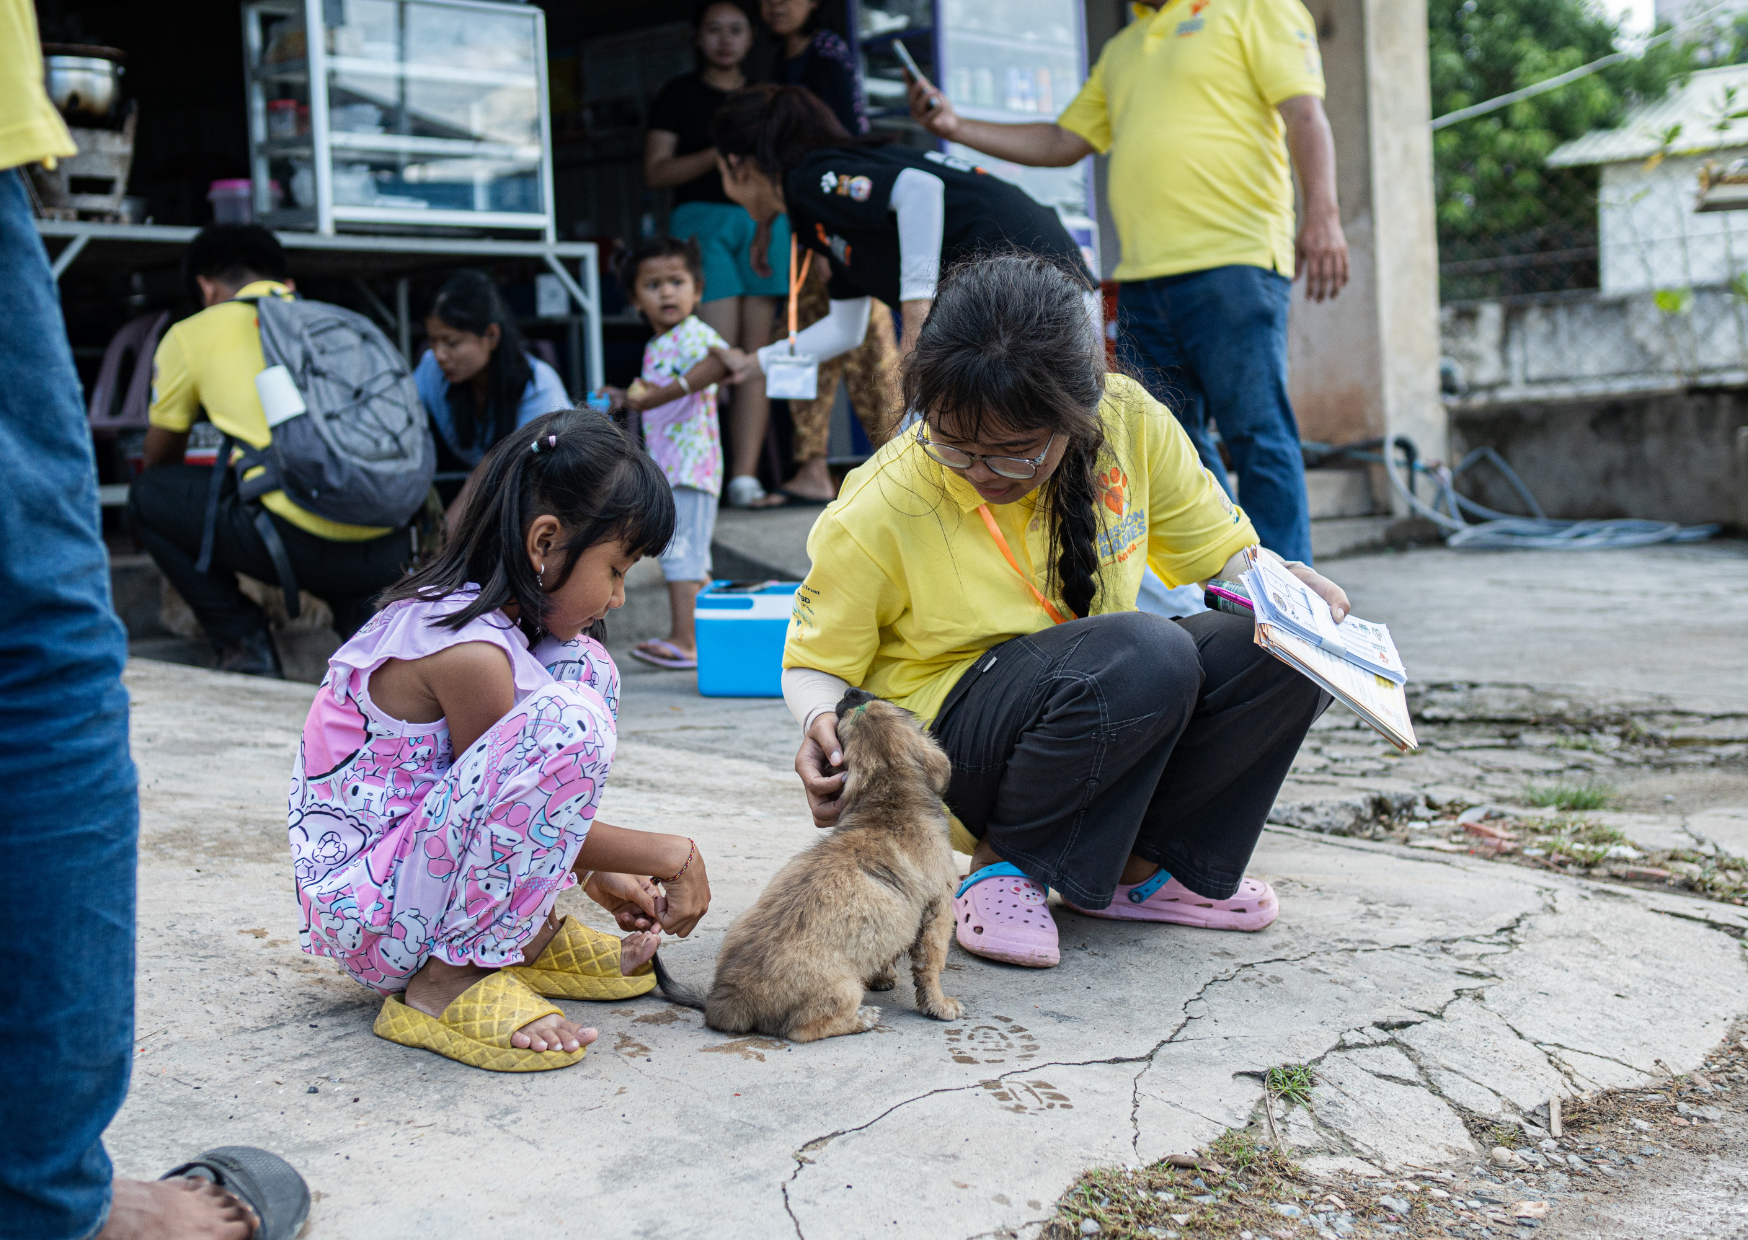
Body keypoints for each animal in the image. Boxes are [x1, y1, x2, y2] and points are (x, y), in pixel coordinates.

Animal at [653, 685, 964, 1035]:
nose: (851, 691)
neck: (889, 795)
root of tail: (726, 1001)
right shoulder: (938, 910)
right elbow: (931, 965)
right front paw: (940, 1005)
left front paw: (883, 977)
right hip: (844, 989)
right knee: (804, 1028)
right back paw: (863, 1018)